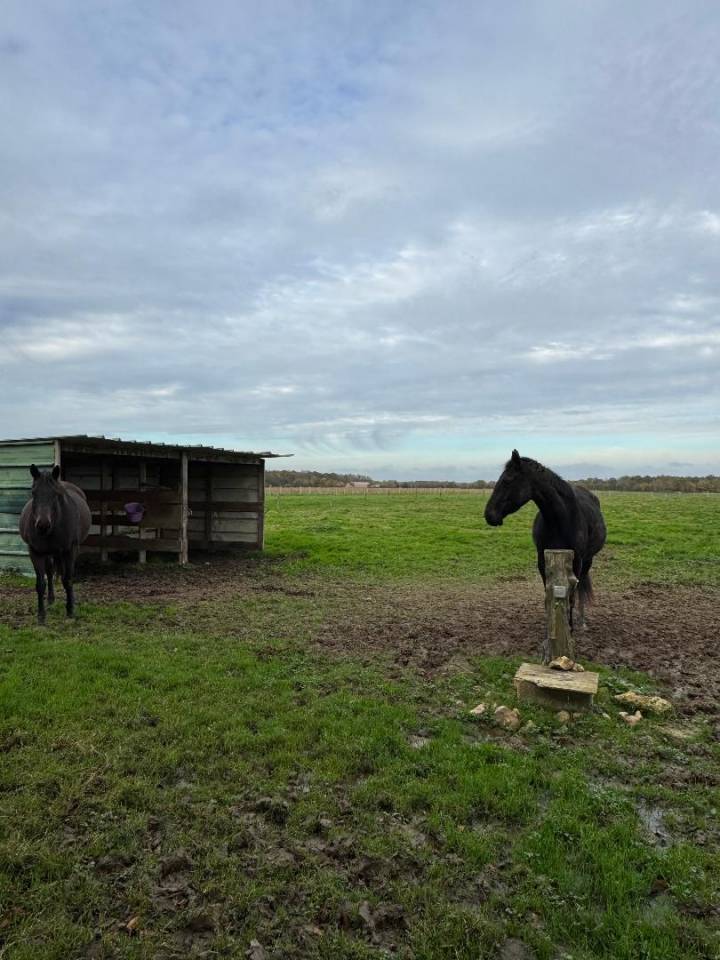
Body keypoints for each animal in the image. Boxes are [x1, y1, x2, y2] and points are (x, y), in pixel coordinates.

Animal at [19, 465, 92, 624]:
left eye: (56, 494)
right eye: (33, 492)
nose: (42, 525)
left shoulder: (69, 550)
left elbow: (68, 579)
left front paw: (70, 611)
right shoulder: (35, 552)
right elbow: (41, 584)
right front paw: (41, 616)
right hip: (50, 553)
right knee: (50, 571)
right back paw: (50, 600)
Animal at [484, 450, 606, 629]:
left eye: (508, 480)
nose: (489, 515)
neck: (561, 519)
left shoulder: (576, 561)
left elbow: (571, 596)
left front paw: (569, 627)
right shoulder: (542, 560)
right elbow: (548, 596)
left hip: (587, 561)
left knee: (581, 588)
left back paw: (581, 620)